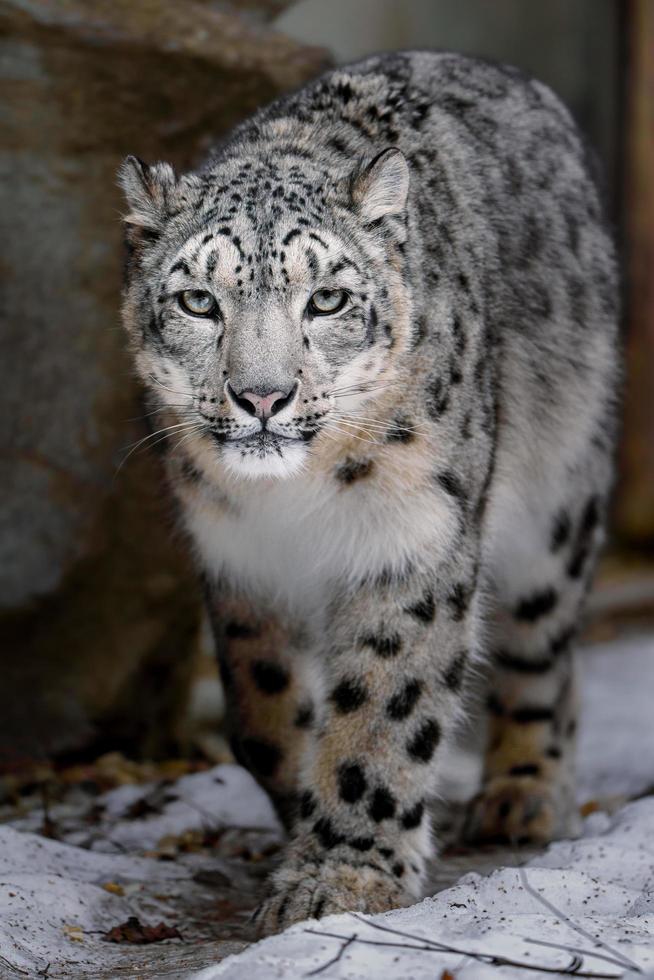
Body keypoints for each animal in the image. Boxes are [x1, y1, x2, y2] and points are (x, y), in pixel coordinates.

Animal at [119, 51, 620, 936]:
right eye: (197, 301)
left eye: (328, 298)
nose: (261, 396)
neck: (296, 504)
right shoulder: (237, 558)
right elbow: (263, 711)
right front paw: (304, 819)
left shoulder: (411, 535)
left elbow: (385, 702)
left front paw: (343, 876)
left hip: (559, 502)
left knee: (544, 649)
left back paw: (523, 796)